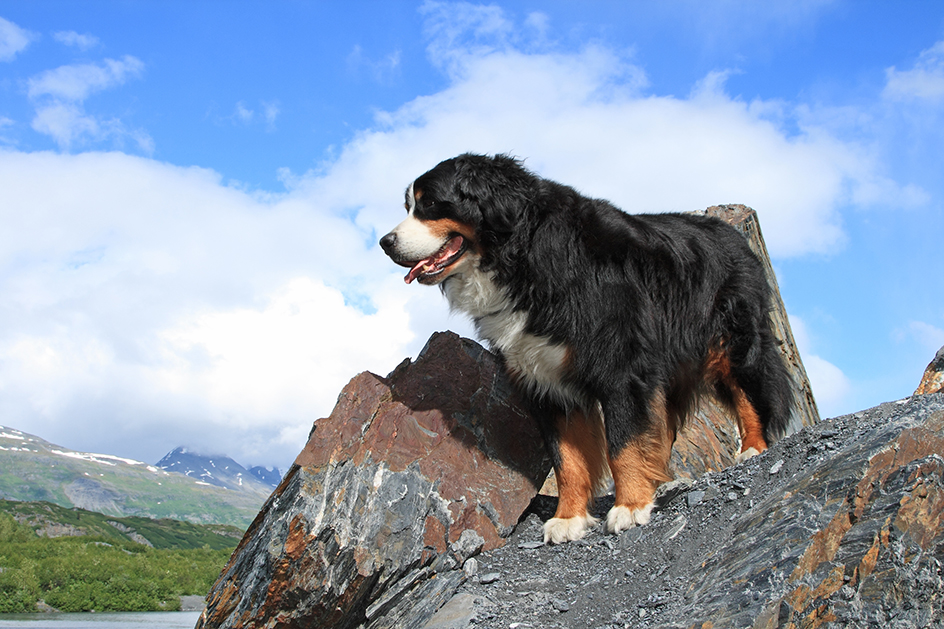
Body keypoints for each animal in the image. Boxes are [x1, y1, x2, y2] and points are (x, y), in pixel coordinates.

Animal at [380, 155, 792, 544]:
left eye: (431, 203)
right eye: (408, 206)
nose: (385, 243)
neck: (521, 257)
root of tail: (732, 234)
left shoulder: (621, 366)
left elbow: (622, 444)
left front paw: (630, 506)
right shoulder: (545, 380)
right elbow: (568, 461)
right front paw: (569, 518)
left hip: (732, 341)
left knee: (752, 392)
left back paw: (753, 448)